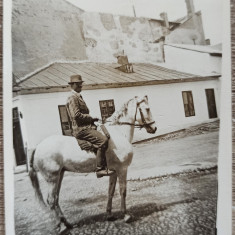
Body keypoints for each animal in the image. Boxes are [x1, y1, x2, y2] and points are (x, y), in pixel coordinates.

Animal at [28, 95, 156, 229]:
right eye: (147, 109)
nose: (154, 128)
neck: (119, 133)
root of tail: (38, 147)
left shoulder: (114, 172)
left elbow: (111, 192)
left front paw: (109, 215)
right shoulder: (122, 169)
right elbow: (123, 191)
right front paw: (126, 215)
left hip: (59, 176)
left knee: (56, 199)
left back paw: (66, 223)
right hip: (51, 178)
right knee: (51, 200)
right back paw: (61, 226)